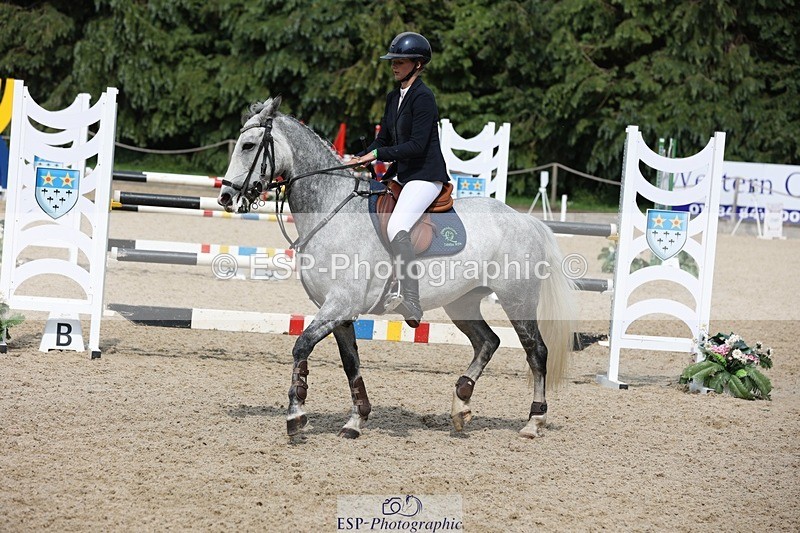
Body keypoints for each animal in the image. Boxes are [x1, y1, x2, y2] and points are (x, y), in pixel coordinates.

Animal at [217, 96, 576, 439]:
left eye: (248, 145)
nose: (226, 197)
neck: (332, 211)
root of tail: (525, 219)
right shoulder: (340, 312)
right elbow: (351, 364)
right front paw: (355, 420)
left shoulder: (340, 304)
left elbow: (301, 345)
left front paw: (296, 415)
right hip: (462, 302)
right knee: (487, 342)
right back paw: (461, 405)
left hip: (517, 299)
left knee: (535, 352)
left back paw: (533, 422)